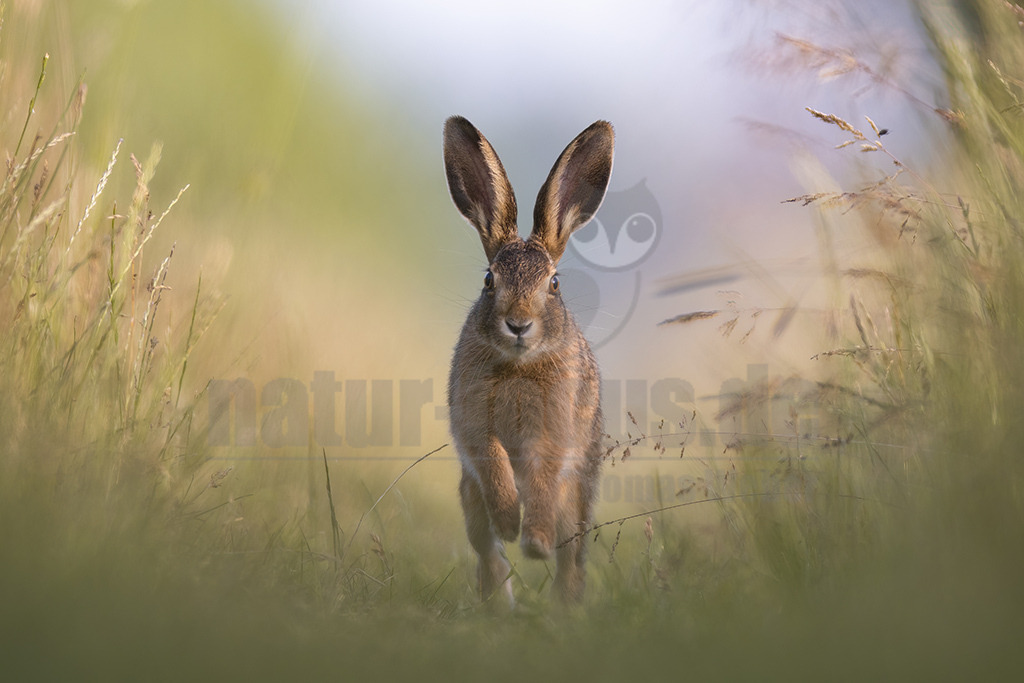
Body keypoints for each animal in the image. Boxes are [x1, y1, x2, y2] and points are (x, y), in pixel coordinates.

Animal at [442, 115, 614, 605]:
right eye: (488, 280)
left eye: (554, 284)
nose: (518, 325)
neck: (518, 365)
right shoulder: (474, 422)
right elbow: (493, 458)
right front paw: (508, 520)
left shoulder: (555, 430)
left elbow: (542, 474)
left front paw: (534, 542)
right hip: (468, 496)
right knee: (486, 550)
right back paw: (499, 601)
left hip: (577, 501)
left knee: (571, 555)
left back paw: (562, 601)